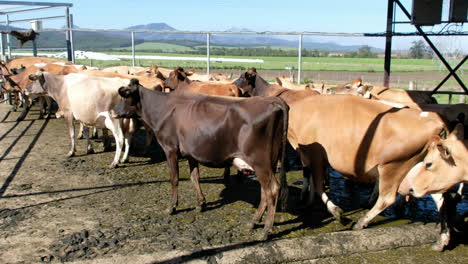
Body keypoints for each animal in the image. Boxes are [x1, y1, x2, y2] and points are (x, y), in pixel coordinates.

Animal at [114, 78, 288, 239]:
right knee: (265, 191)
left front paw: (172, 207)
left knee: (272, 189)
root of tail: (271, 101)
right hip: (269, 163)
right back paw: (254, 222)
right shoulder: (191, 153)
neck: (162, 109)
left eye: (125, 95)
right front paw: (201, 204)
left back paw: (265, 231)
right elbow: (194, 177)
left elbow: (174, 179)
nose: (114, 111)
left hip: (260, 162)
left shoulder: (170, 149)